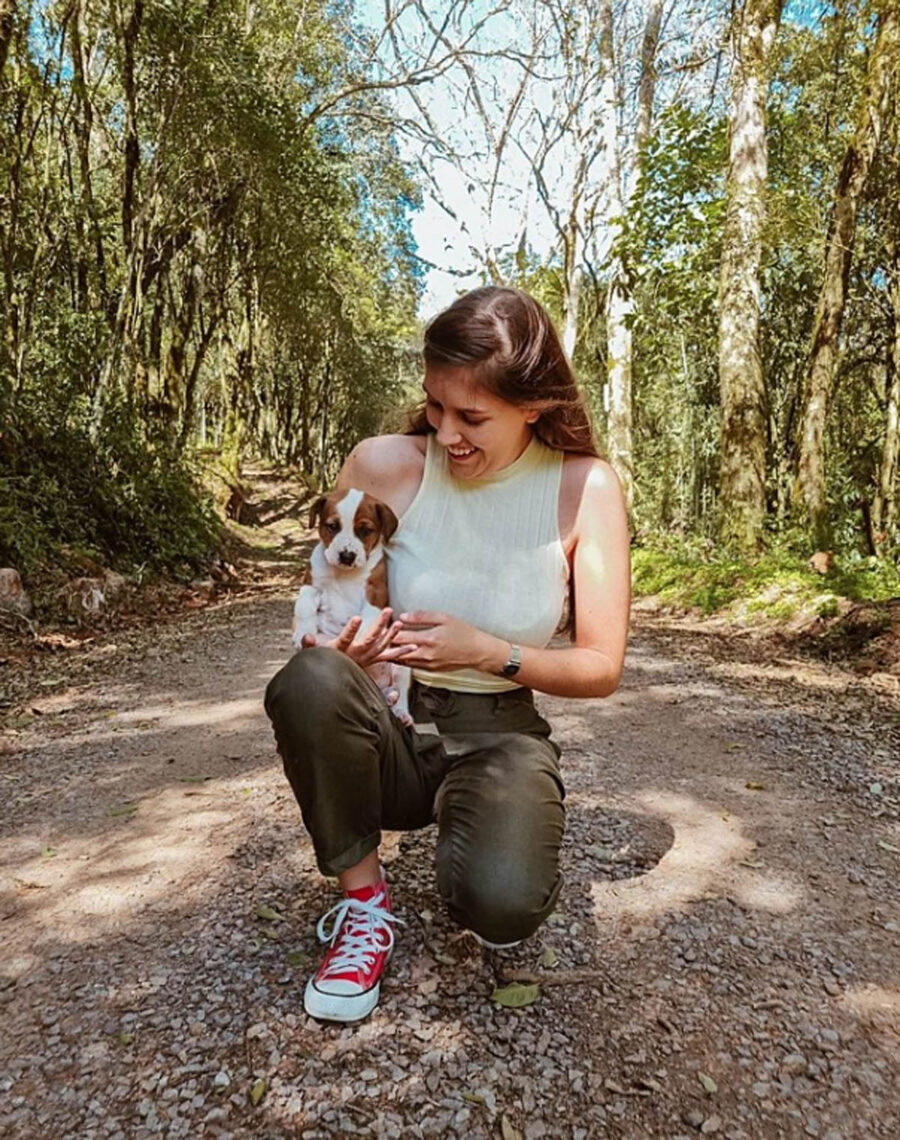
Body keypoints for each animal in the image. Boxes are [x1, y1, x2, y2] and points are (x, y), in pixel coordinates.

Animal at [290, 487, 410, 720]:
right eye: (332, 526)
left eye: (365, 530)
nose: (347, 555)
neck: (343, 574)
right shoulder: (311, 586)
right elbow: (304, 607)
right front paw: (302, 632)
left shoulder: (374, 595)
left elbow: (365, 622)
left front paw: (360, 641)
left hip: (402, 662)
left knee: (400, 687)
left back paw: (400, 709)